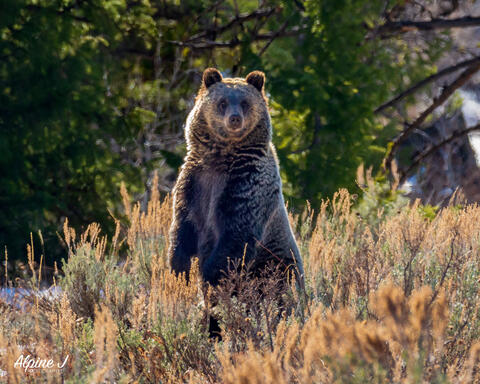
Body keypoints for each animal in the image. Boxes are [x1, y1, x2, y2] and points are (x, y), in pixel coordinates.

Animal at [169, 67, 304, 286]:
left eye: (245, 103)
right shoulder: (194, 182)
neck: (222, 157)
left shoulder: (246, 182)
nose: (234, 118)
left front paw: (209, 275)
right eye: (222, 102)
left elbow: (236, 234)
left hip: (275, 260)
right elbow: (183, 225)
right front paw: (180, 270)